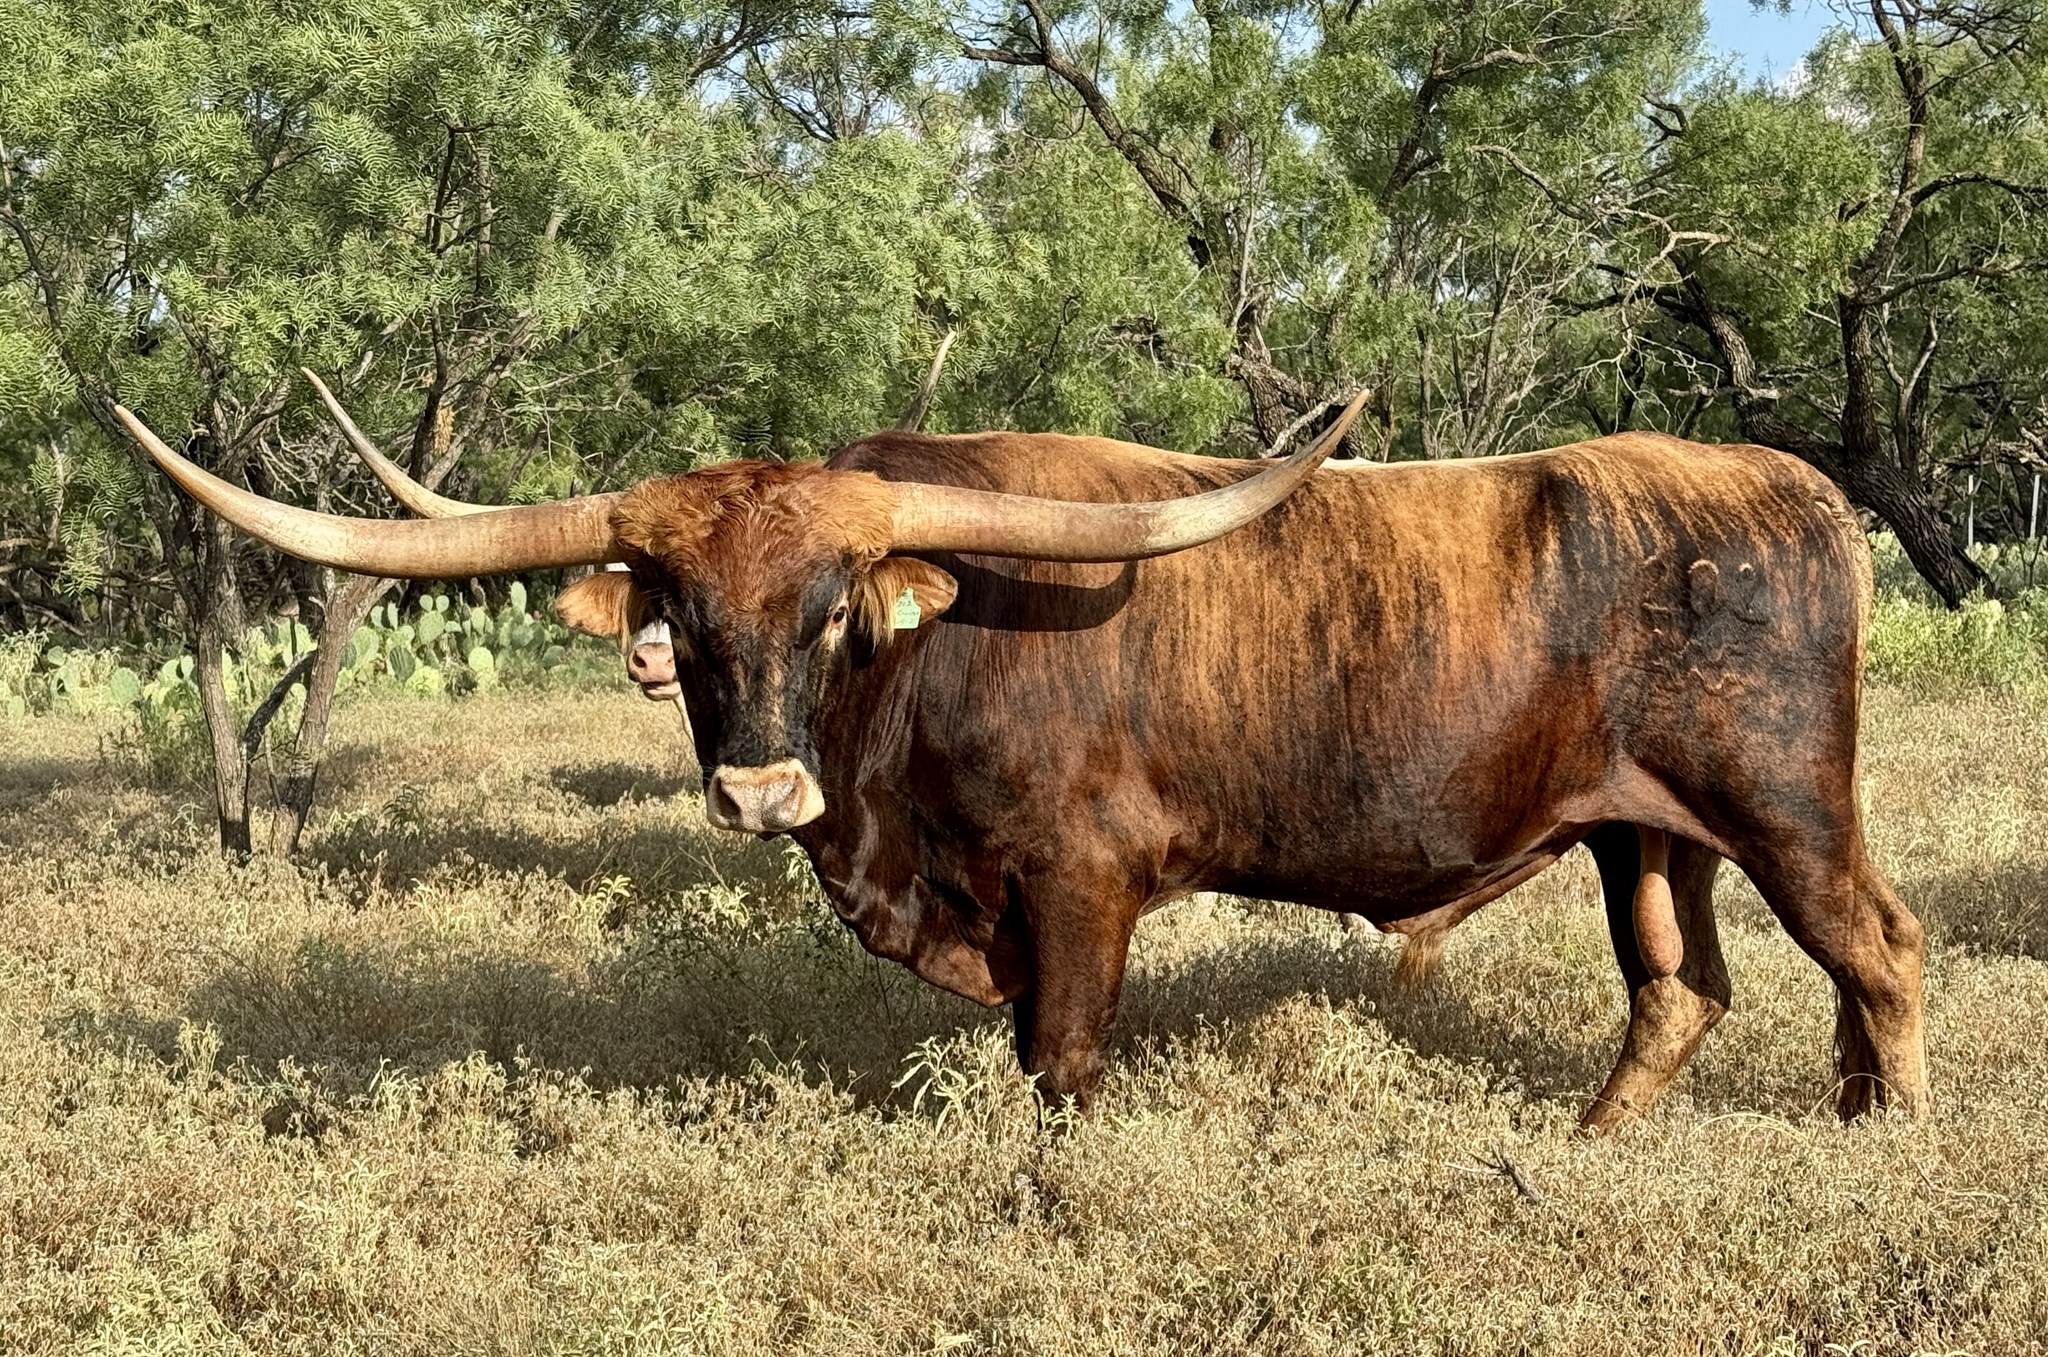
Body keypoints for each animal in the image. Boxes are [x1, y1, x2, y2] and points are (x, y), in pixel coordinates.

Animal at [114, 393, 1929, 1131]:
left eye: (832, 608)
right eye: (682, 616)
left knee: (1881, 950)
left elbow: (1057, 1065)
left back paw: (1882, 1133)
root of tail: (1785, 486)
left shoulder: (1078, 887)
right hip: (1645, 831)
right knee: (1680, 987)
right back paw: (1604, 1140)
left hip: (1785, 807)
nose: (760, 792)